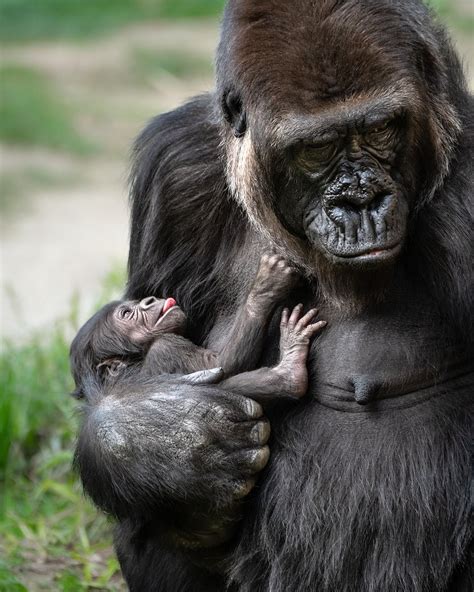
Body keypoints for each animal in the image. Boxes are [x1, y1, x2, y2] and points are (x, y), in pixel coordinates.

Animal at [70, 254, 326, 402]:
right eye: (127, 314)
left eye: (135, 303)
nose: (149, 300)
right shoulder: (167, 348)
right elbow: (221, 364)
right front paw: (265, 286)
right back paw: (290, 372)